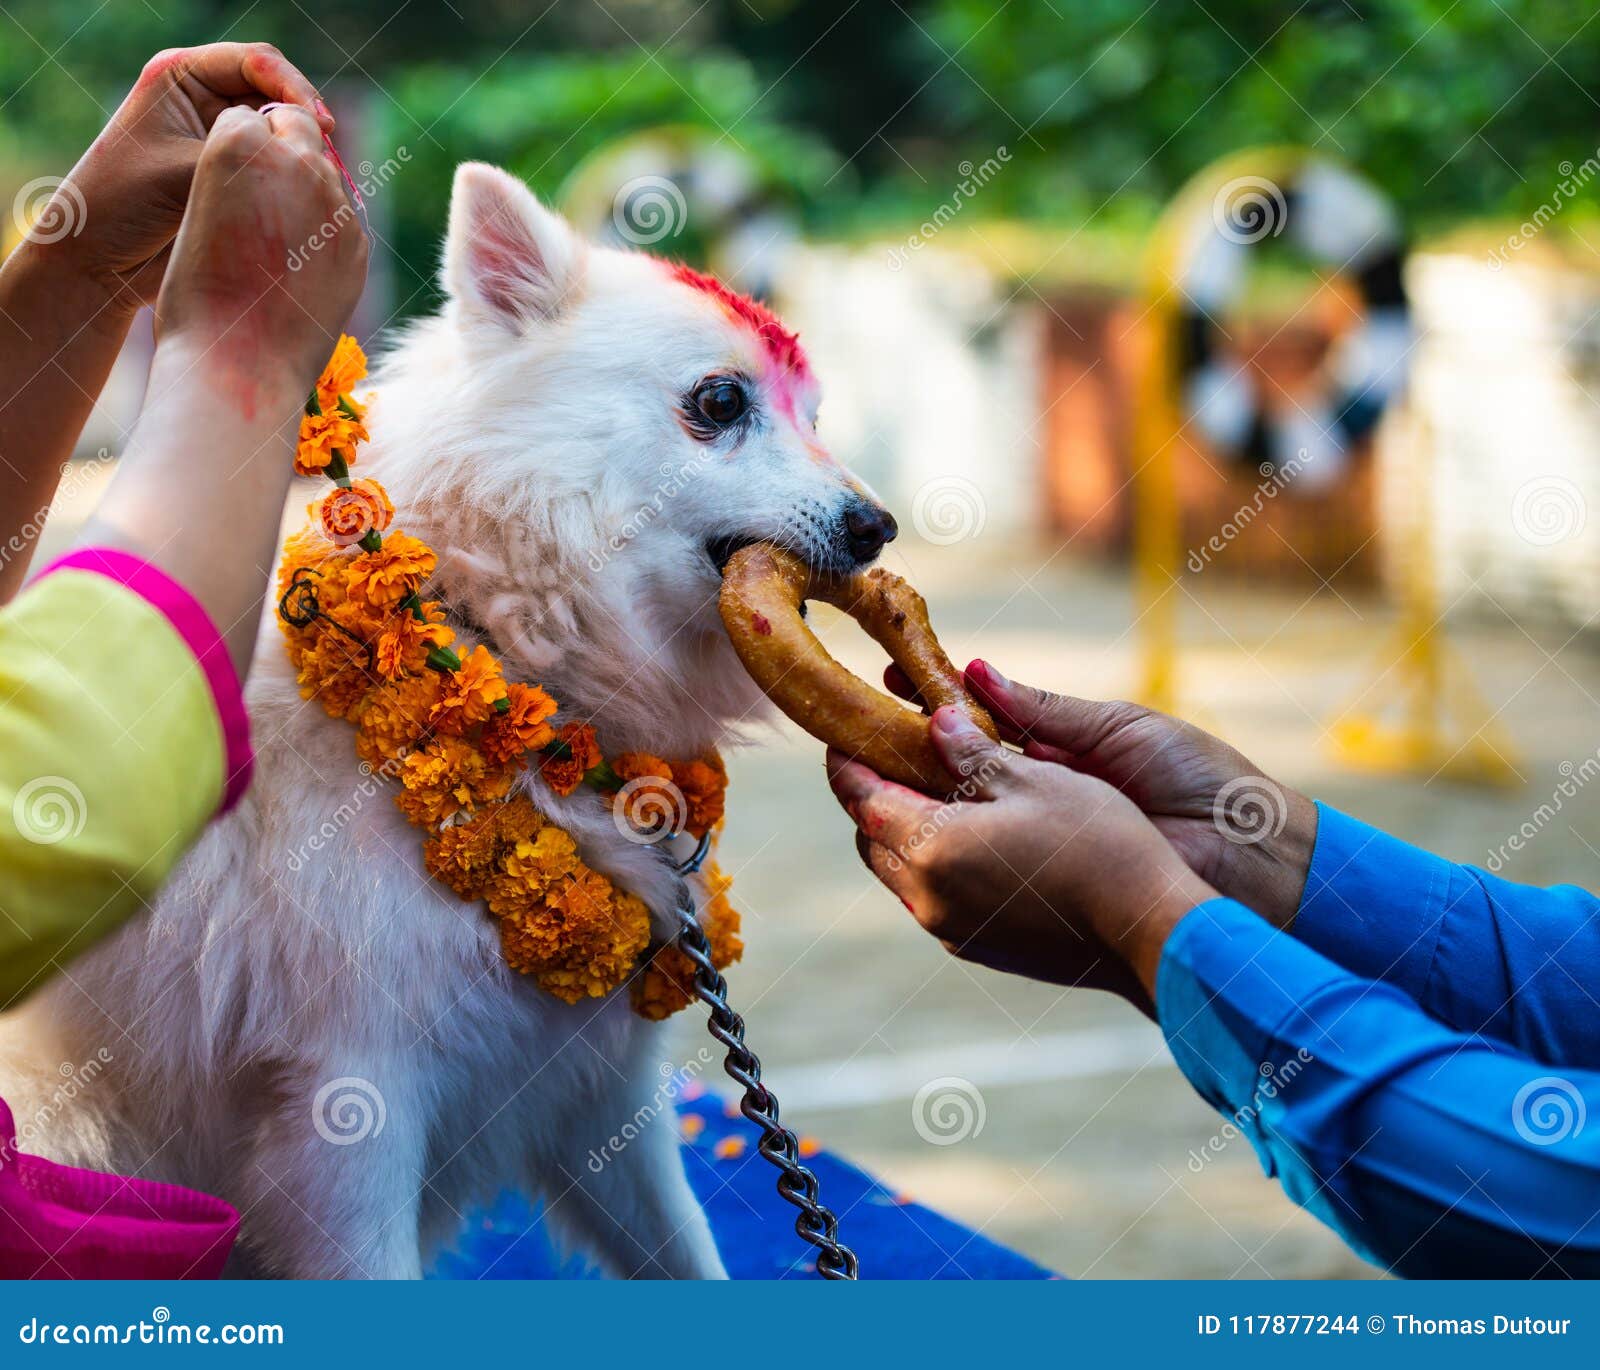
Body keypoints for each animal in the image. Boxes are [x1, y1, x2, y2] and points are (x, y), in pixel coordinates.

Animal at [0, 165, 902, 1280]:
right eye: (720, 403)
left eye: (814, 416)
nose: (879, 527)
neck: (508, 662)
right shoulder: (347, 1117)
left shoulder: (599, 1100)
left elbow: (691, 1257)